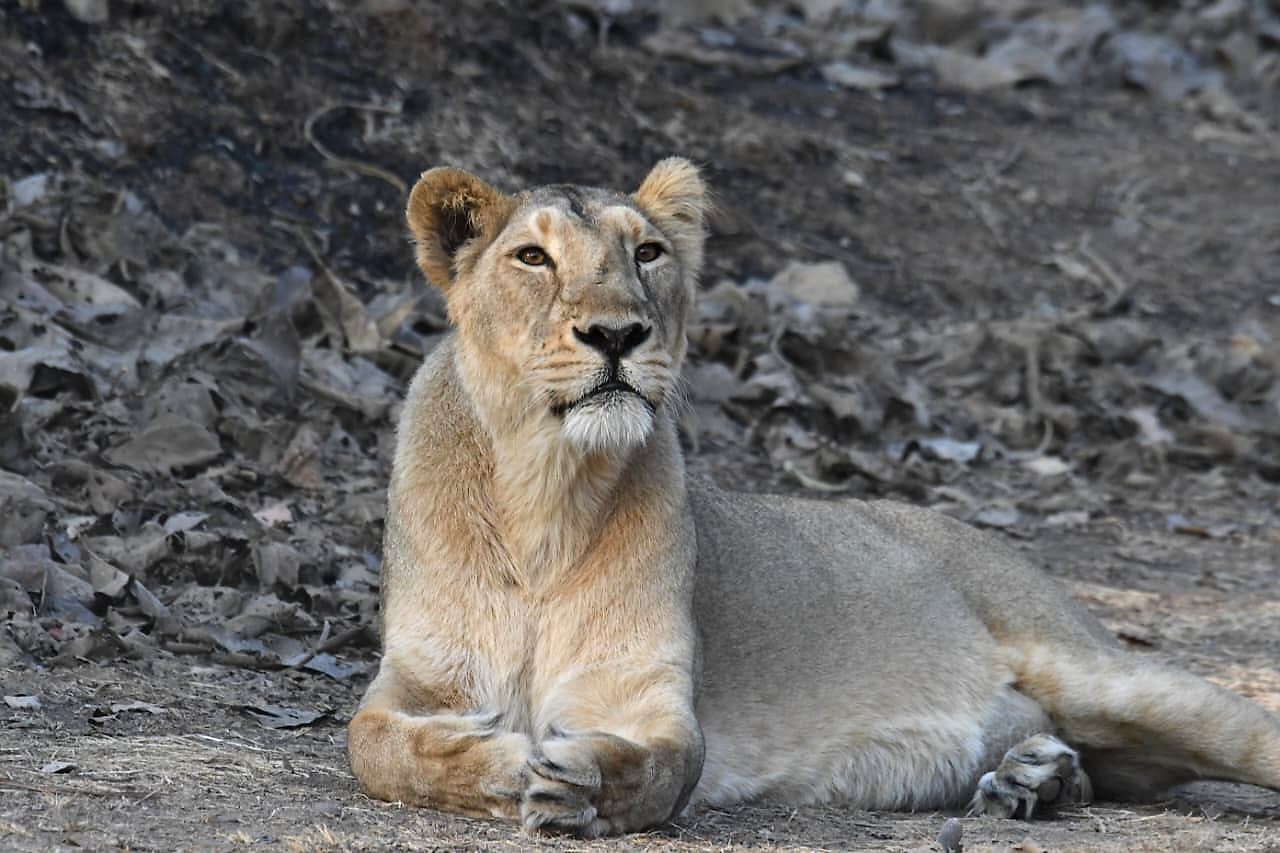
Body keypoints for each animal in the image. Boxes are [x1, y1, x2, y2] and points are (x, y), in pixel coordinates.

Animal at [347, 158, 1280, 837]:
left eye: (647, 253)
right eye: (532, 258)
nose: (618, 334)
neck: (545, 488)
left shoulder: (645, 695)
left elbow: (667, 764)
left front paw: (577, 780)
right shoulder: (415, 677)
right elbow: (374, 746)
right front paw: (503, 760)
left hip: (1101, 669)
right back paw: (1036, 779)